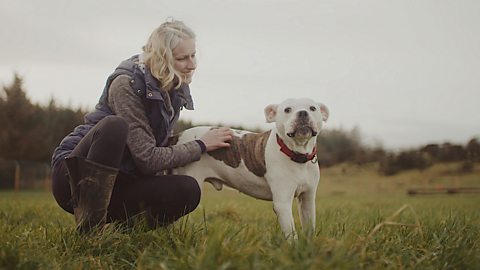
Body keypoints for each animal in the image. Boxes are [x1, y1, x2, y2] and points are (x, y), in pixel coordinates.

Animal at [174, 98, 328, 239]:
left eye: (313, 108)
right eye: (287, 109)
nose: (302, 113)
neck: (298, 154)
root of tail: (177, 136)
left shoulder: (307, 200)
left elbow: (309, 229)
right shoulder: (282, 203)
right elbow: (291, 235)